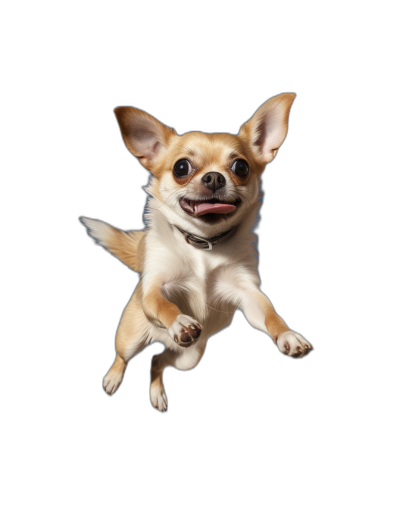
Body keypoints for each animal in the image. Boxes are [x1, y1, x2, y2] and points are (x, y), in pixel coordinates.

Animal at [80, 93, 312, 414]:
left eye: (241, 168)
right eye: (181, 168)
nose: (214, 178)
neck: (204, 244)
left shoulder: (246, 292)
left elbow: (268, 313)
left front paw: (288, 334)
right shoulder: (154, 287)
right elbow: (162, 303)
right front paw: (180, 321)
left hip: (188, 357)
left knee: (156, 361)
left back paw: (157, 394)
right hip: (131, 336)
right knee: (123, 357)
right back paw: (114, 378)